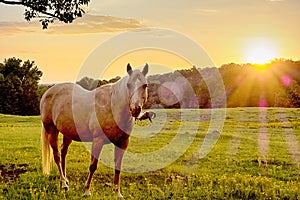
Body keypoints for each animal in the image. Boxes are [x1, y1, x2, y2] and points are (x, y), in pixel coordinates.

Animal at [39, 63, 149, 197]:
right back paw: (64, 184)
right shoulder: (98, 141)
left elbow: (117, 166)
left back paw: (64, 180)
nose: (135, 109)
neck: (112, 107)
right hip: (51, 130)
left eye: (145, 85)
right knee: (57, 156)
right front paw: (87, 191)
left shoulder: (123, 142)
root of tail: (47, 93)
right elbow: (93, 166)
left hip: (67, 133)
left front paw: (117, 193)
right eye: (128, 85)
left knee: (63, 152)